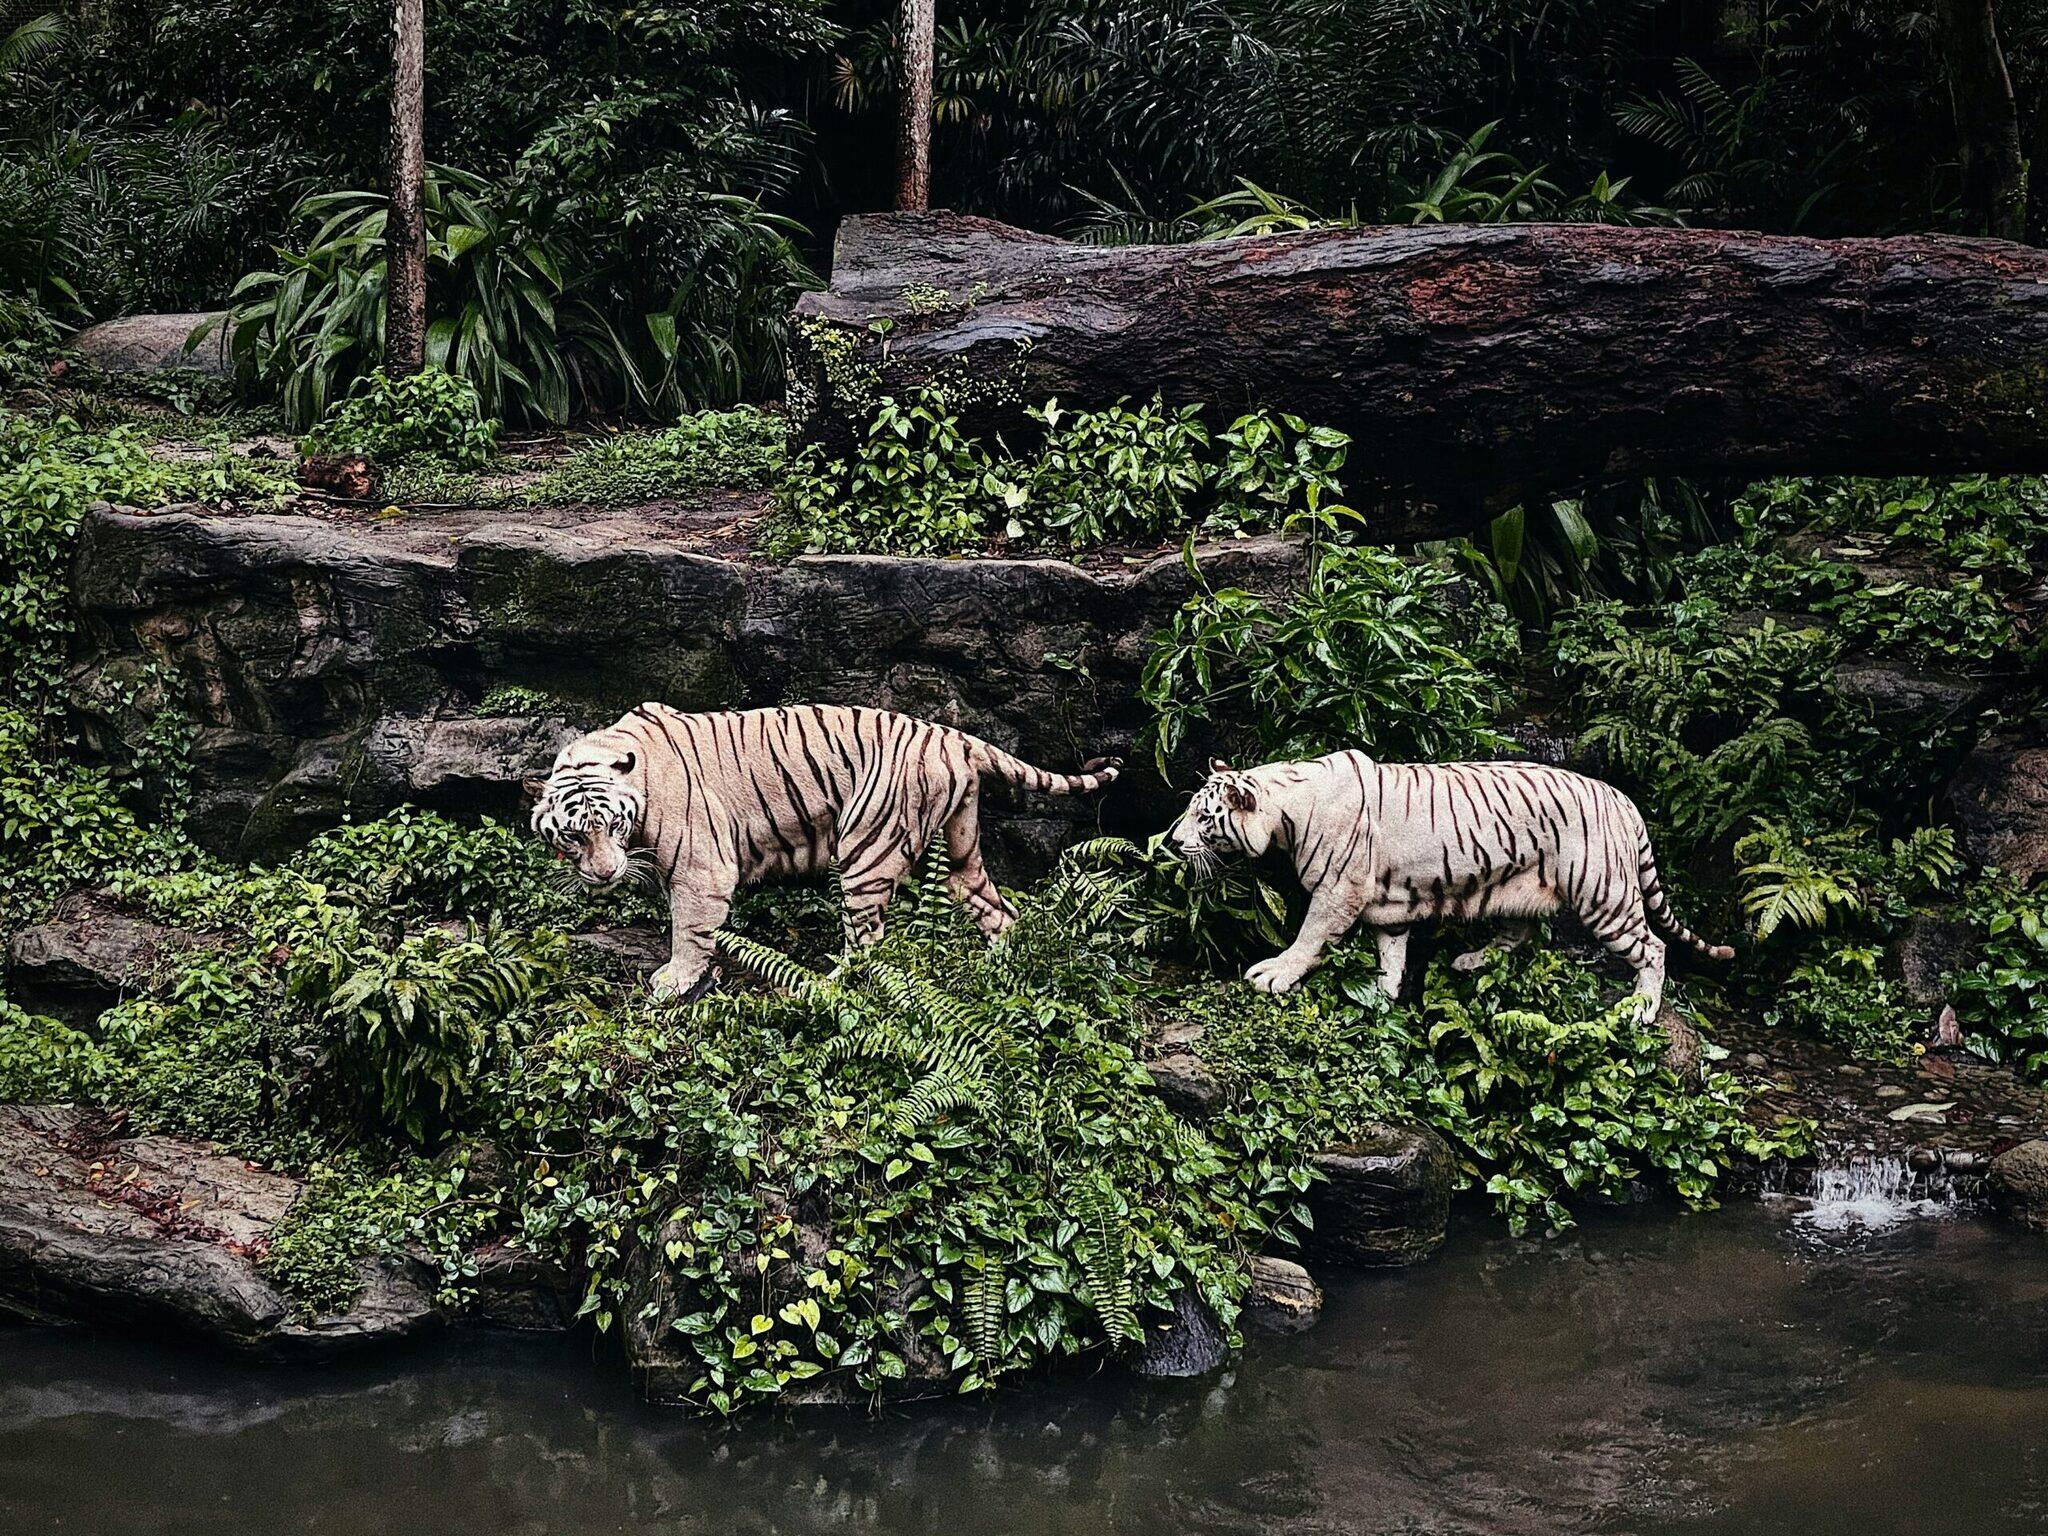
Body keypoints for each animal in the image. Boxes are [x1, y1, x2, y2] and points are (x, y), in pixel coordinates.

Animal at [526, 702, 1122, 999]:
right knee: (998, 911)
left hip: (865, 851)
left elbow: (689, 930)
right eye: (573, 835)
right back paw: (1002, 969)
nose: (605, 875)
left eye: (612, 825)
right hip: (959, 850)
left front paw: (675, 980)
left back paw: (818, 988)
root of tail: (953, 735)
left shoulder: (701, 870)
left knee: (869, 944)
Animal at [1166, 751, 1732, 1014]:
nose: (1170, 841)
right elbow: (1391, 950)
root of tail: (1623, 799)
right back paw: (1471, 960)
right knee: (1519, 933)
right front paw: (1384, 994)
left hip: (1604, 894)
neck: (1285, 808)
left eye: (1205, 817)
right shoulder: (1386, 903)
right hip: (1519, 887)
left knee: (1654, 947)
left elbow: (1308, 937)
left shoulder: (1337, 892)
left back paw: (1642, 1008)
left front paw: (1274, 975)